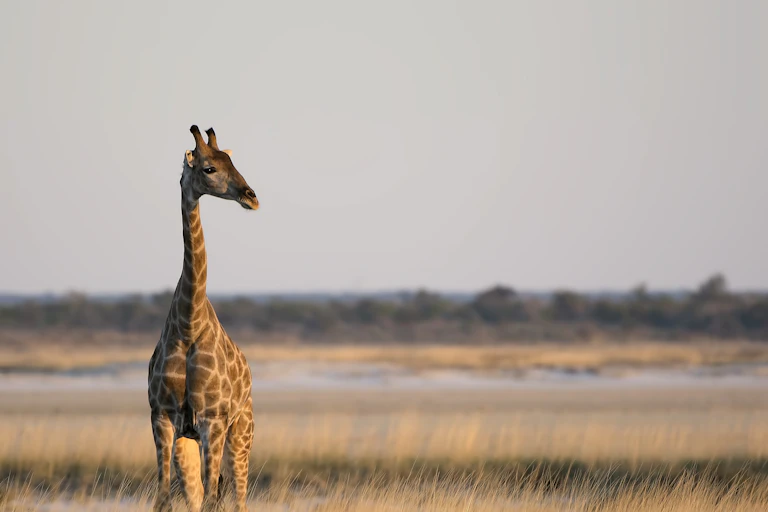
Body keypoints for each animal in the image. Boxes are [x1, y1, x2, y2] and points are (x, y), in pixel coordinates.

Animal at [148, 125, 258, 512]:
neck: (188, 325)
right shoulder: (162, 418)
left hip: (240, 433)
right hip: (190, 441)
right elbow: (164, 500)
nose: (251, 196)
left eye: (232, 162)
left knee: (238, 498)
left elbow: (213, 500)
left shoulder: (213, 420)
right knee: (197, 495)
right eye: (209, 168)